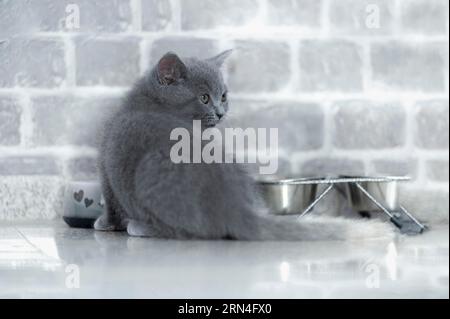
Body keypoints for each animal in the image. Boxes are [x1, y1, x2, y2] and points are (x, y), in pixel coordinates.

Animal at [94, 50, 390, 240]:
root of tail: (235, 208)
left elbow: (111, 201)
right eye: (204, 97)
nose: (220, 111)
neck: (149, 103)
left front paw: (104, 223)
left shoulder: (106, 166)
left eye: (223, 96)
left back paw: (141, 228)